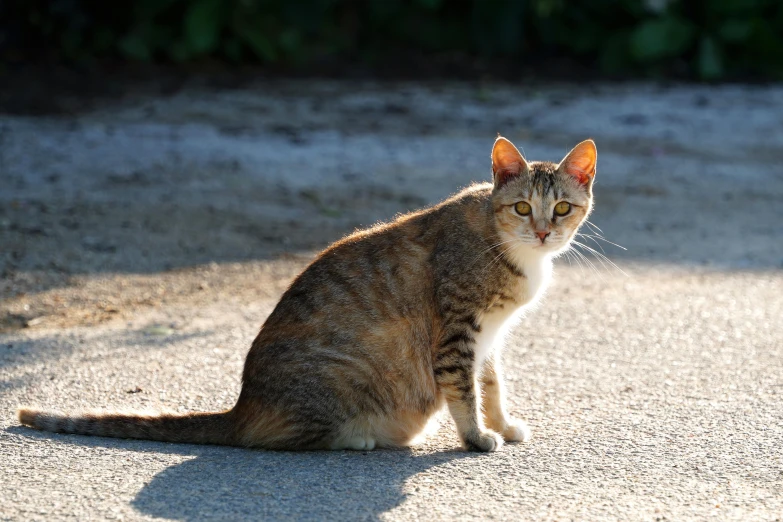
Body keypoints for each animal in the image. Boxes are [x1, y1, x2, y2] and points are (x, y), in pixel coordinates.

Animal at [18, 136, 596, 448]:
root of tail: (242, 405)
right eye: (522, 207)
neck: (511, 250)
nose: (543, 231)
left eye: (561, 208)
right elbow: (464, 390)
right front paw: (476, 437)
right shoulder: (459, 334)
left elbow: (492, 385)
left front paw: (501, 423)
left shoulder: (489, 339)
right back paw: (357, 437)